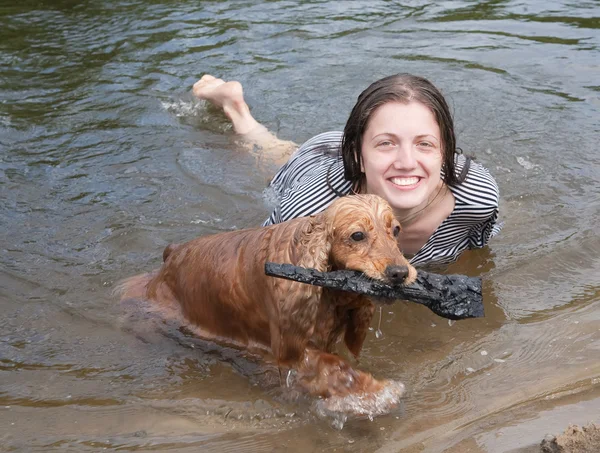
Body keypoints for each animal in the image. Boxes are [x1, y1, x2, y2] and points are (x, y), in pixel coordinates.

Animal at [118, 194, 418, 416]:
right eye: (357, 235)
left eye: (396, 230)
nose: (400, 273)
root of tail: (171, 253)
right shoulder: (284, 347)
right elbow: (332, 367)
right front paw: (373, 391)